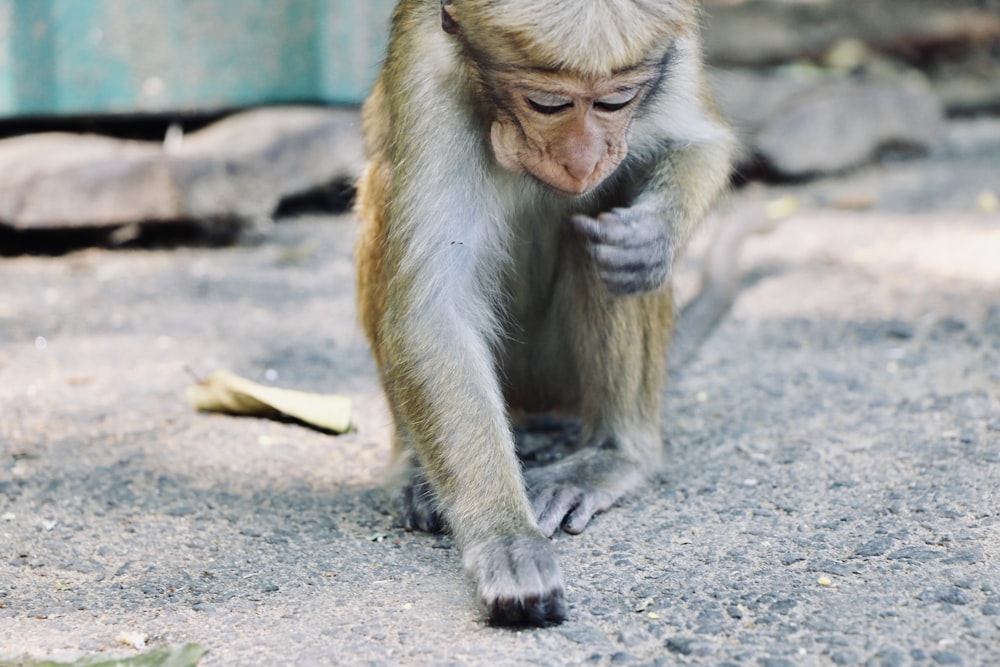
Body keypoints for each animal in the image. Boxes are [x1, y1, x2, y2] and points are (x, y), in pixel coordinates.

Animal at [354, 0, 736, 628]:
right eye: (547, 104)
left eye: (615, 101)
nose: (583, 158)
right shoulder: (424, 78)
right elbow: (435, 310)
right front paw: (505, 535)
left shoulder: (675, 48)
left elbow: (704, 142)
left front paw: (654, 237)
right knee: (383, 183)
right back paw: (417, 468)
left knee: (611, 208)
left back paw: (610, 454)